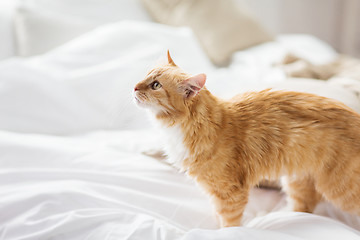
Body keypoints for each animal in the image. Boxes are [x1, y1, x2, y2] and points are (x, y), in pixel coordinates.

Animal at [134, 50, 360, 227]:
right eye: (145, 75)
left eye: (156, 85)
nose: (134, 87)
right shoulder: (214, 191)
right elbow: (218, 213)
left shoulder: (230, 191)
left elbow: (229, 222)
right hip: (297, 179)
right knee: (304, 207)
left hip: (340, 190)